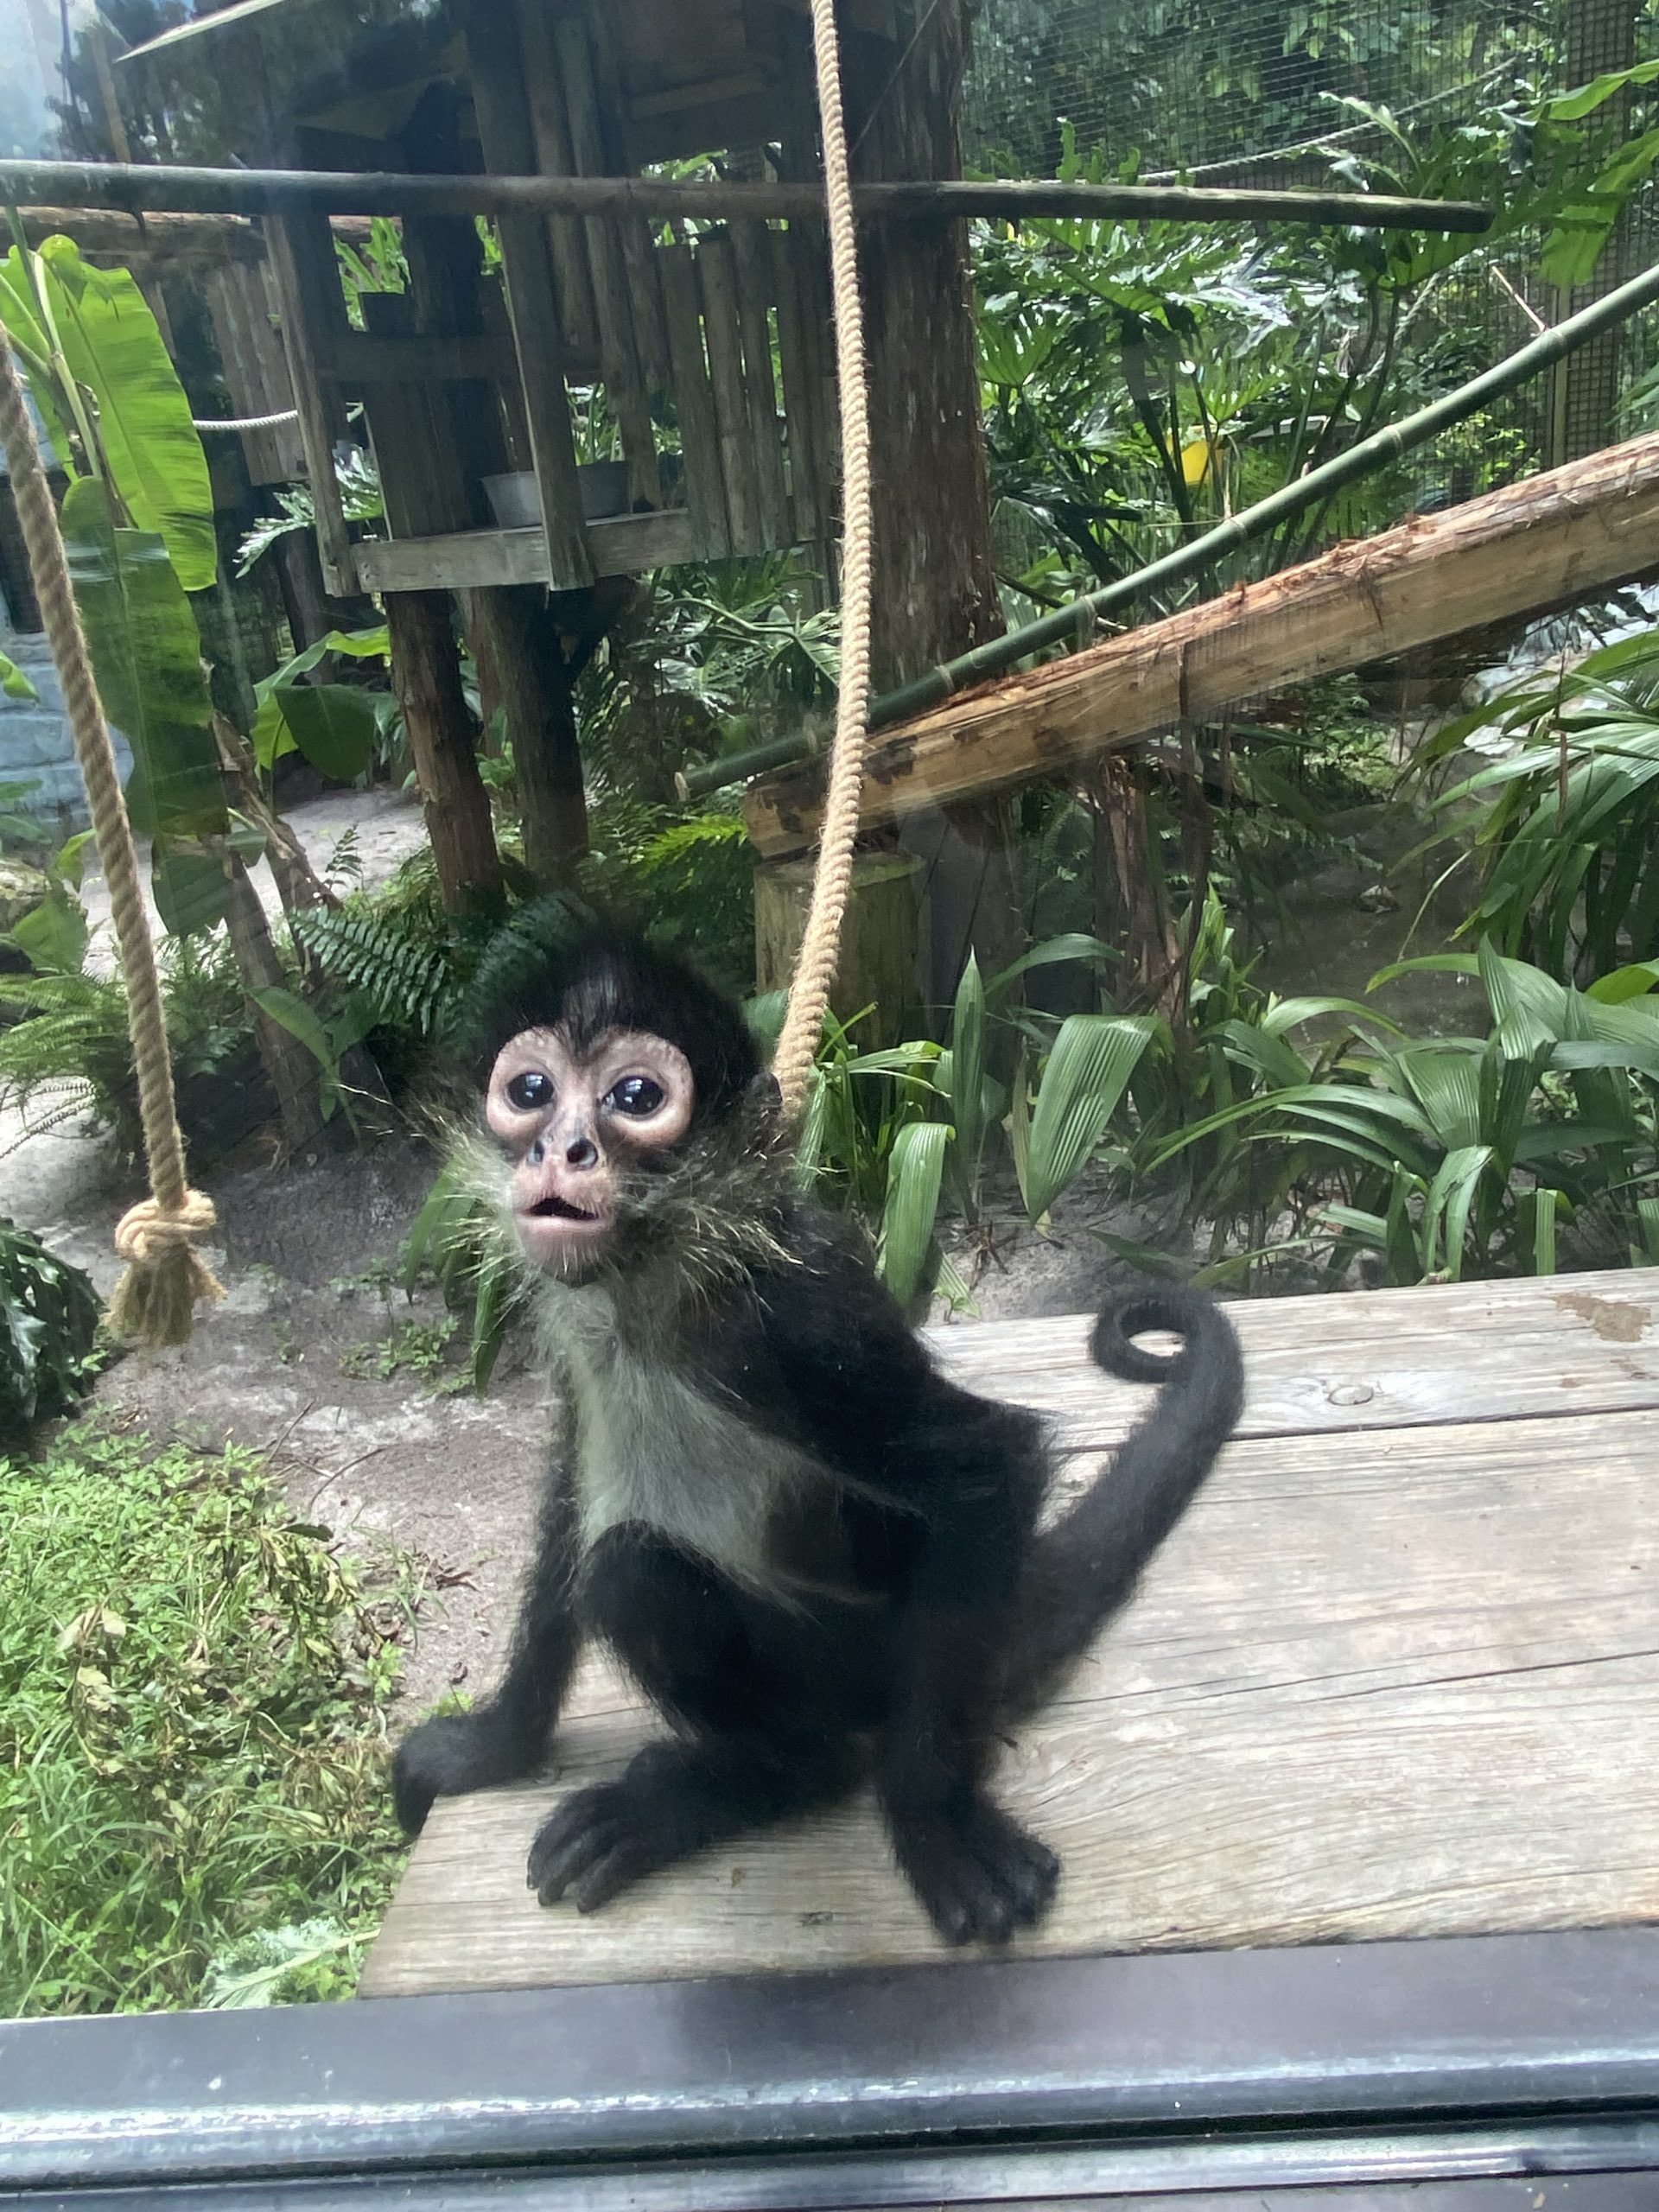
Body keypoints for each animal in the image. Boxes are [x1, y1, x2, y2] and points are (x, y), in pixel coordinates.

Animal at [396, 911, 1238, 1937]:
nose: (560, 1149)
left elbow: (987, 1465)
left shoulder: (804, 1321)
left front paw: (933, 1820)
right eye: (529, 1091)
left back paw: (768, 1777)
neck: (654, 1292)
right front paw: (497, 1744)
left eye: (635, 1097)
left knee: (636, 1572)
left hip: (857, 1660)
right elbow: (568, 1482)